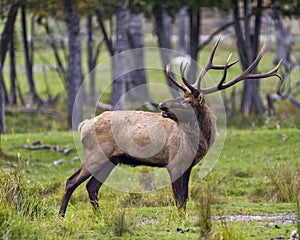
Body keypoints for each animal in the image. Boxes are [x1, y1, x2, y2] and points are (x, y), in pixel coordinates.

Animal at [59, 38, 282, 217]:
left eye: (188, 101)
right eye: (180, 96)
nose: (162, 105)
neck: (200, 141)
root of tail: (83, 125)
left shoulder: (188, 165)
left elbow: (185, 197)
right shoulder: (174, 162)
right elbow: (178, 198)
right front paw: (179, 220)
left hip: (111, 160)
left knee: (91, 187)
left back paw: (99, 216)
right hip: (96, 154)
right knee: (71, 181)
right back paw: (61, 215)